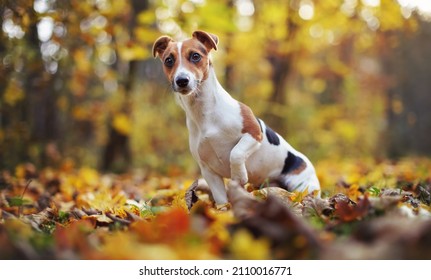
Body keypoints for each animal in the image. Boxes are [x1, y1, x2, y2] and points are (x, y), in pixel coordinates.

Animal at [153, 31, 320, 210]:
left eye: (195, 56)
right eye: (169, 60)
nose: (182, 80)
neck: (205, 113)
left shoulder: (254, 133)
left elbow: (236, 153)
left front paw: (239, 175)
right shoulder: (208, 170)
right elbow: (221, 199)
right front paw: (223, 212)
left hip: (302, 186)